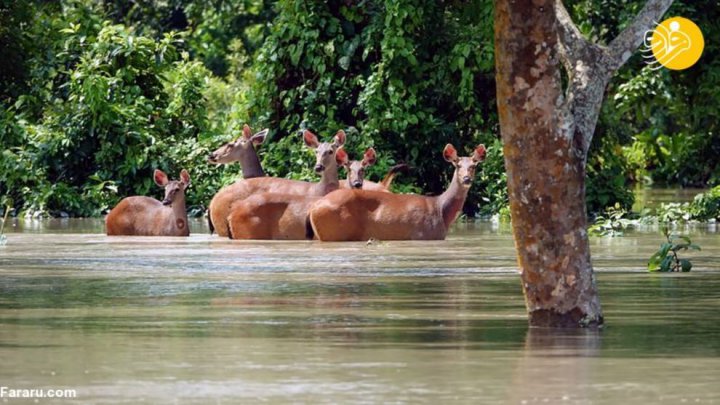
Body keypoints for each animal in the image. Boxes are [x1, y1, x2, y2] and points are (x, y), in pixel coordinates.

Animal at [306, 144, 486, 241]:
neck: (441, 209)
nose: (466, 179)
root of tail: (314, 207)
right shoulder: (423, 235)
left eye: (474, 166)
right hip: (333, 232)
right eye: (457, 165)